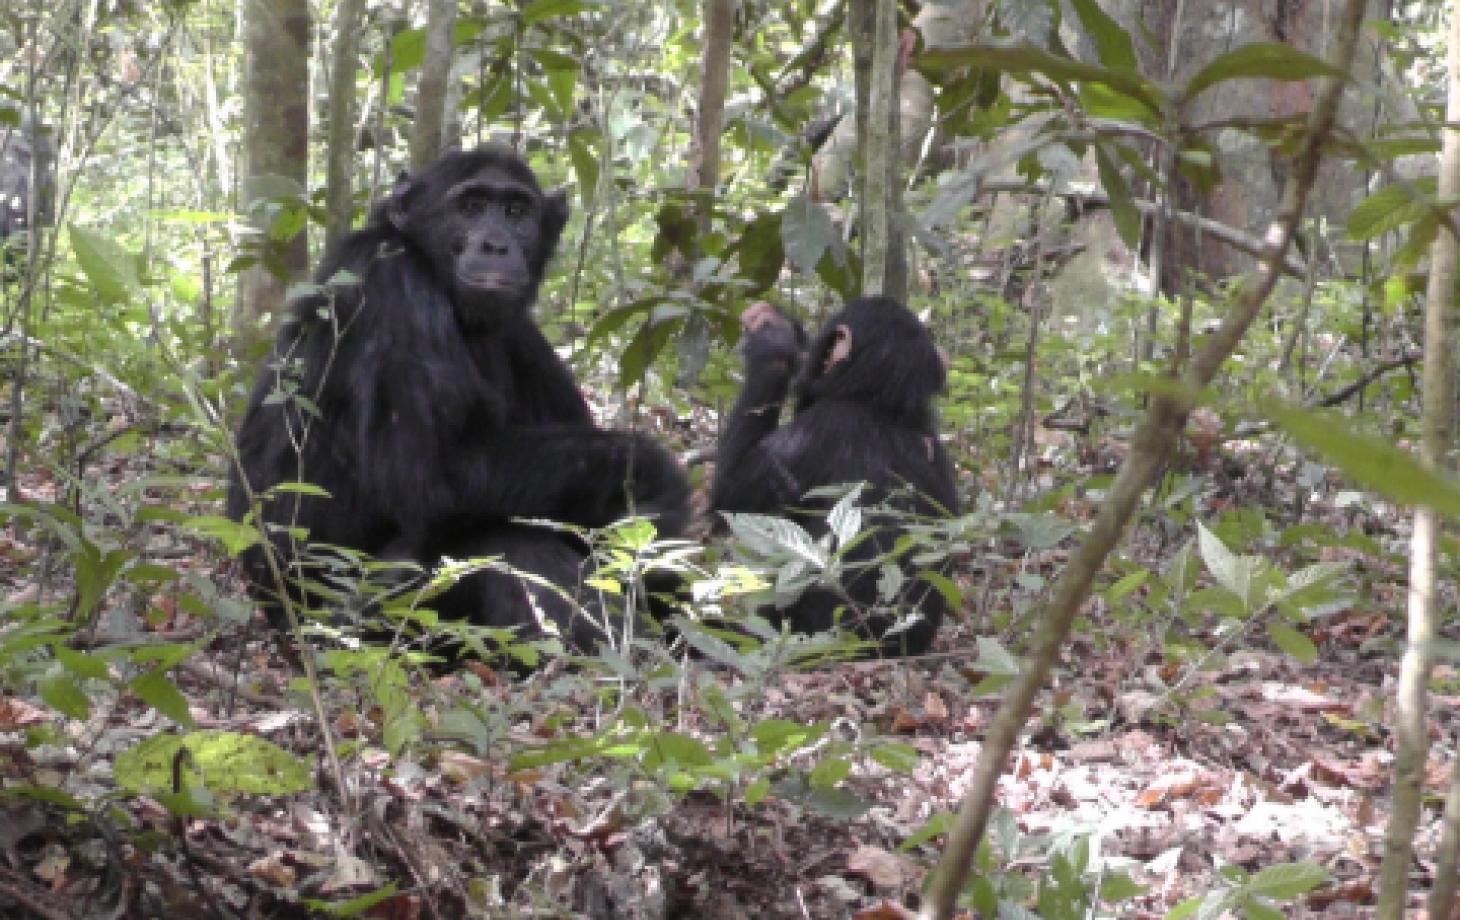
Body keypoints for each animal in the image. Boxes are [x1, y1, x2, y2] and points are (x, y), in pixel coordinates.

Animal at [230, 146, 692, 657]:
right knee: (505, 539)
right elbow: (436, 474)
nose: (495, 244)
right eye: (470, 207)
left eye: (516, 211)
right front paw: (652, 469)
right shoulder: (394, 291)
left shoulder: (521, 334)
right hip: (354, 626)